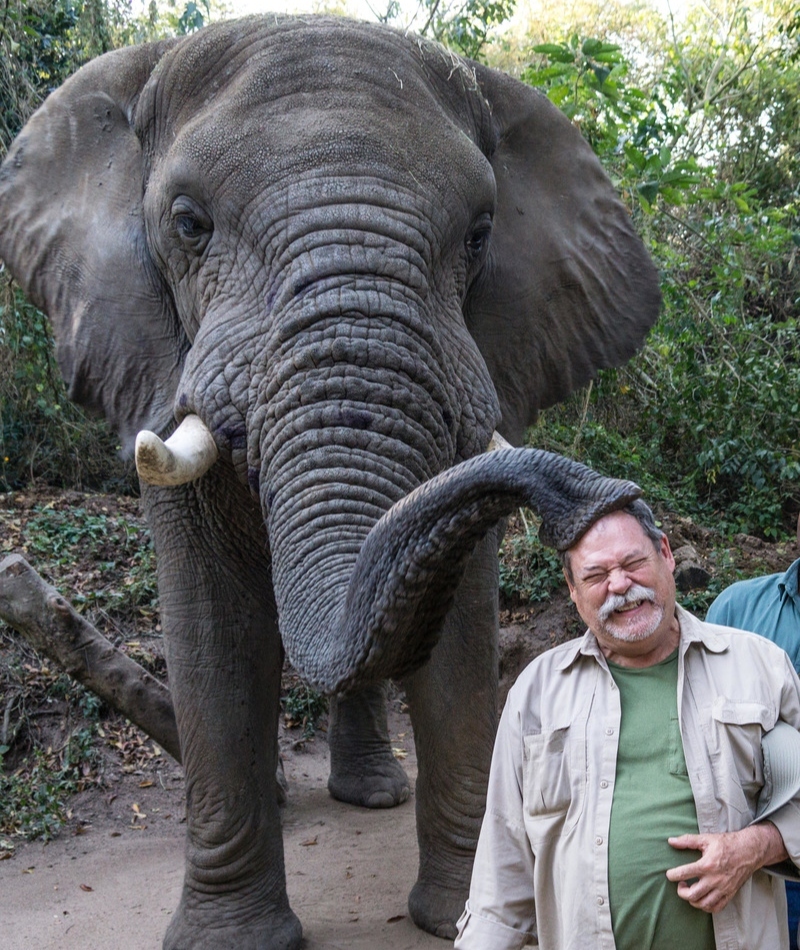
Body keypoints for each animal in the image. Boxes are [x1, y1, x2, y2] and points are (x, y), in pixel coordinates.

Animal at [0, 14, 660, 950]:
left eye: (480, 234)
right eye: (188, 223)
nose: (611, 501)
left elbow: (460, 629)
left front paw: (464, 918)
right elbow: (212, 629)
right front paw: (231, 941)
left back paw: (373, 794)